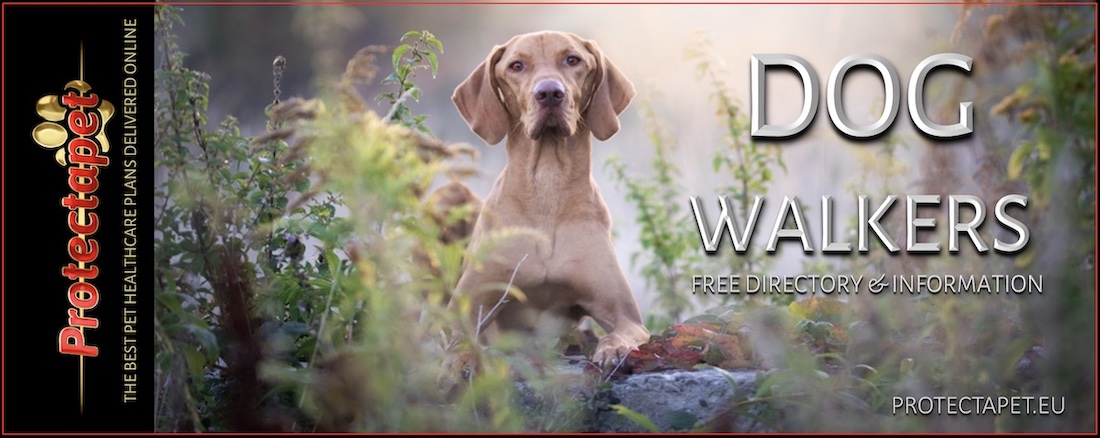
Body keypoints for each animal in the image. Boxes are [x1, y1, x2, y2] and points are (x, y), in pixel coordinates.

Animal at [446, 29, 646, 367]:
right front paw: (465, 362)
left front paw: (612, 349)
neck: (547, 187)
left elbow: (621, 332)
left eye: (573, 60)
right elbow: (459, 342)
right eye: (516, 65)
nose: (550, 92)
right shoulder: (462, 310)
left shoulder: (626, 315)